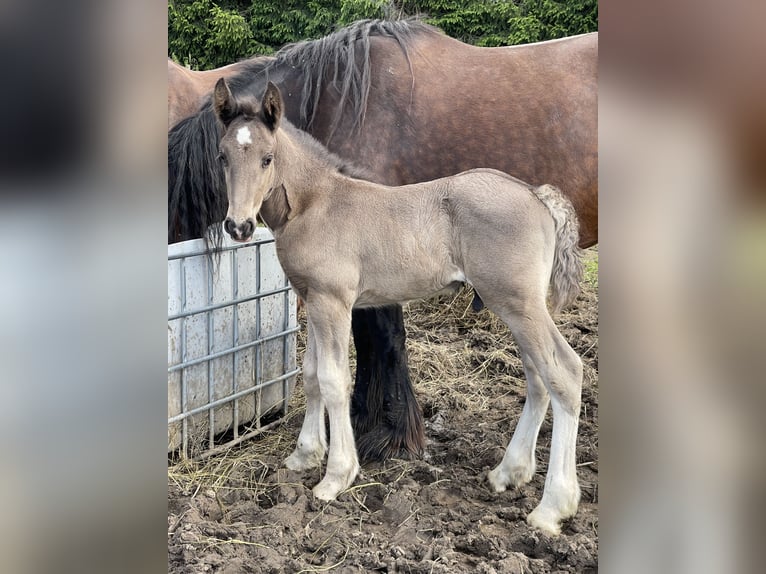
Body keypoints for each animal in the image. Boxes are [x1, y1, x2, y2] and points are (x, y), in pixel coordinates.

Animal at [213, 79, 584, 536]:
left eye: (267, 158)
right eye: (223, 156)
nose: (239, 226)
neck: (317, 202)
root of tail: (537, 195)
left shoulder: (334, 302)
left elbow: (334, 380)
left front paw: (336, 476)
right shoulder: (314, 299)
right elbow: (312, 374)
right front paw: (304, 455)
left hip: (520, 304)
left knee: (564, 373)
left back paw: (552, 507)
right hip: (518, 308)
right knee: (537, 377)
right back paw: (508, 473)